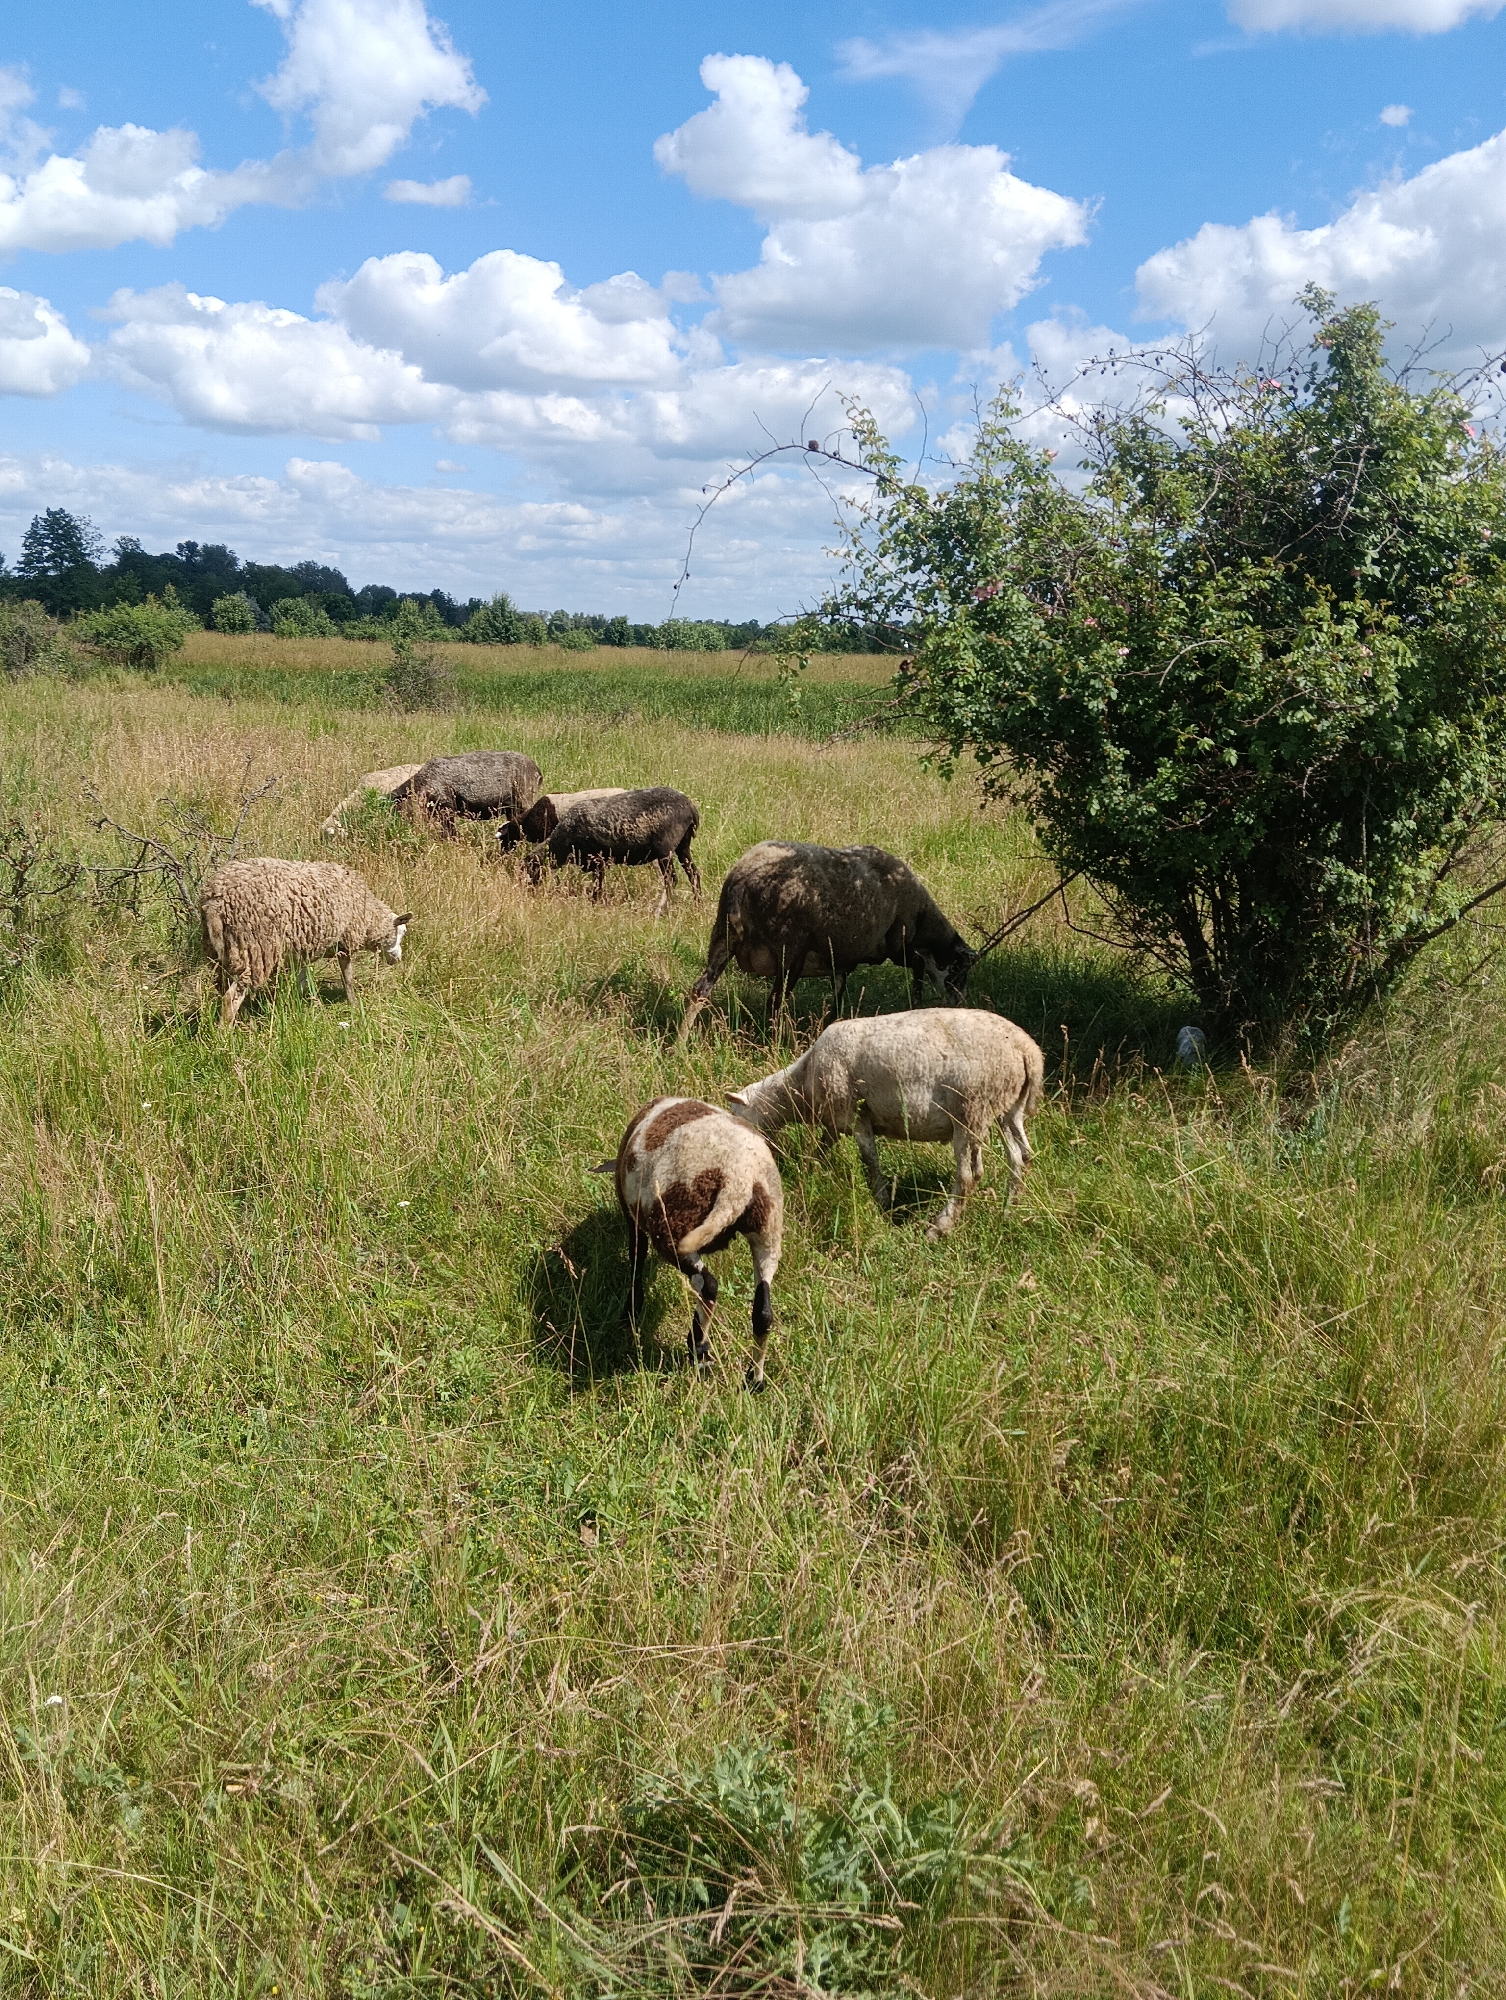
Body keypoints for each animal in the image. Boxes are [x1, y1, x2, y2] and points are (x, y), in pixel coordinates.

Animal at [199, 858, 410, 1026]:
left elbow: (300, 980)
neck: (368, 915)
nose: (398, 959)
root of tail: (215, 899)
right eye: (402, 932)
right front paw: (354, 1004)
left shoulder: (305, 948)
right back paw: (224, 1034)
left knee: (223, 988)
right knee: (230, 997)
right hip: (255, 948)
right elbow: (348, 977)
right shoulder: (344, 941)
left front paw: (292, 1003)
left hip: (223, 951)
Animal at [526, 786, 701, 916]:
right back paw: (698, 904)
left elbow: (597, 886)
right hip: (683, 846)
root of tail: (690, 808)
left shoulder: (597, 861)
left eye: (530, 869)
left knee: (671, 879)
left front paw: (594, 904)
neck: (563, 840)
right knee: (694, 874)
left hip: (665, 849)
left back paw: (660, 911)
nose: (528, 891)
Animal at [606, 1097, 783, 1388]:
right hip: (767, 1230)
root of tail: (738, 1181)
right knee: (763, 1311)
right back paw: (754, 1379)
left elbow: (636, 1259)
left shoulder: (632, 1215)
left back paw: (699, 1350)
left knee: (708, 1285)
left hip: (675, 1228)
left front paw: (631, 1310)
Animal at [681, 842, 973, 1033]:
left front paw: (833, 1023)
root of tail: (742, 878)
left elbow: (839, 993)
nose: (961, 1004)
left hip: (723, 936)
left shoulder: (840, 959)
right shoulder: (896, 945)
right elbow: (919, 965)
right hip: (790, 950)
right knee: (775, 1002)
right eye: (960, 971)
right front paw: (917, 1003)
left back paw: (680, 1045)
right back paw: (776, 1041)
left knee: (700, 990)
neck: (923, 919)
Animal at [728, 1007, 1043, 1240]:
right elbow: (821, 1149)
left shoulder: (856, 1115)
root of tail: (1027, 1050)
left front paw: (881, 1201)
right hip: (1007, 1108)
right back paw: (1008, 1210)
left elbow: (870, 1159)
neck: (801, 1086)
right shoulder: (835, 1121)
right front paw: (810, 1173)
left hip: (969, 1112)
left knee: (968, 1176)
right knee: (1021, 1156)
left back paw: (938, 1228)